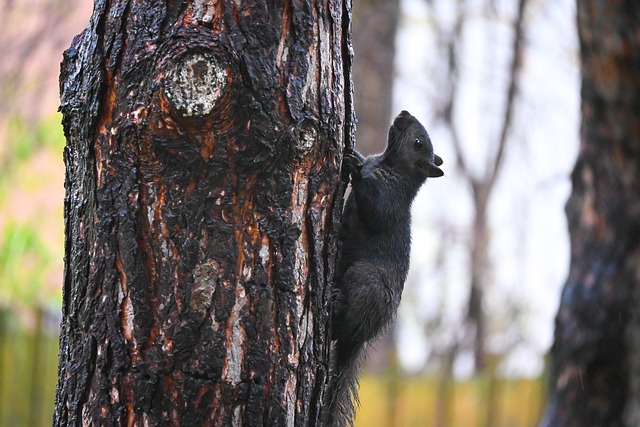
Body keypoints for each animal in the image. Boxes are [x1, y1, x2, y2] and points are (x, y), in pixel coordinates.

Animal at [328, 111, 442, 427]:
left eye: (418, 143)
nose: (404, 113)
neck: (386, 163)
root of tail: (363, 338)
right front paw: (356, 156)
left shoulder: (390, 200)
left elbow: (374, 211)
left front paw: (354, 168)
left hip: (365, 279)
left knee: (342, 328)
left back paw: (338, 304)